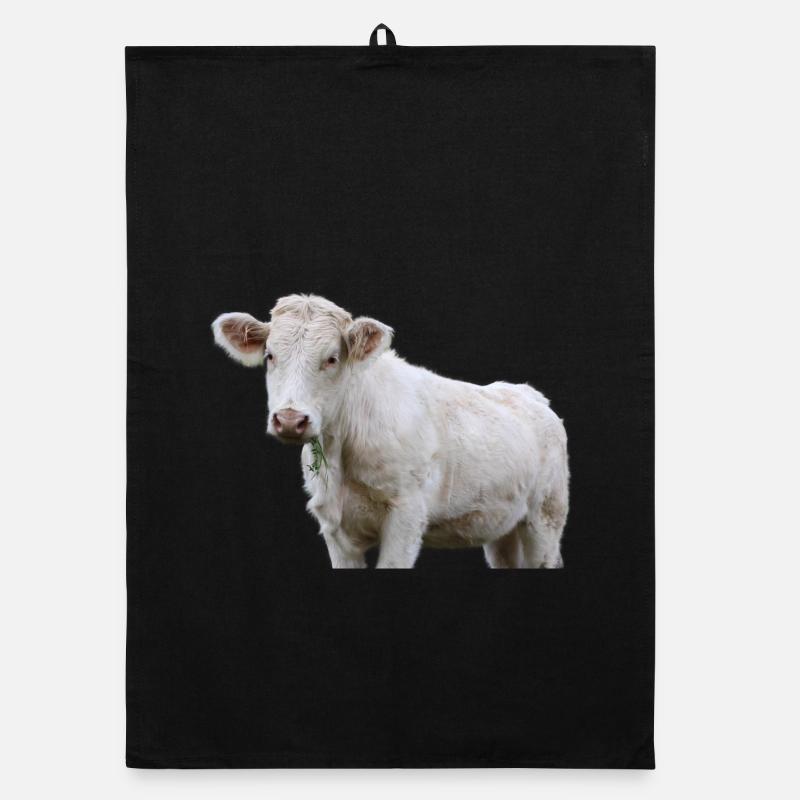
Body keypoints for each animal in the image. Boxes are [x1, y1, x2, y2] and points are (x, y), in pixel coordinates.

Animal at [212, 294, 569, 569]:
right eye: (270, 355)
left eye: (332, 358)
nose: (289, 419)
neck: (342, 455)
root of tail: (528, 393)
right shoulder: (335, 529)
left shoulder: (407, 515)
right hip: (499, 525)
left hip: (546, 516)